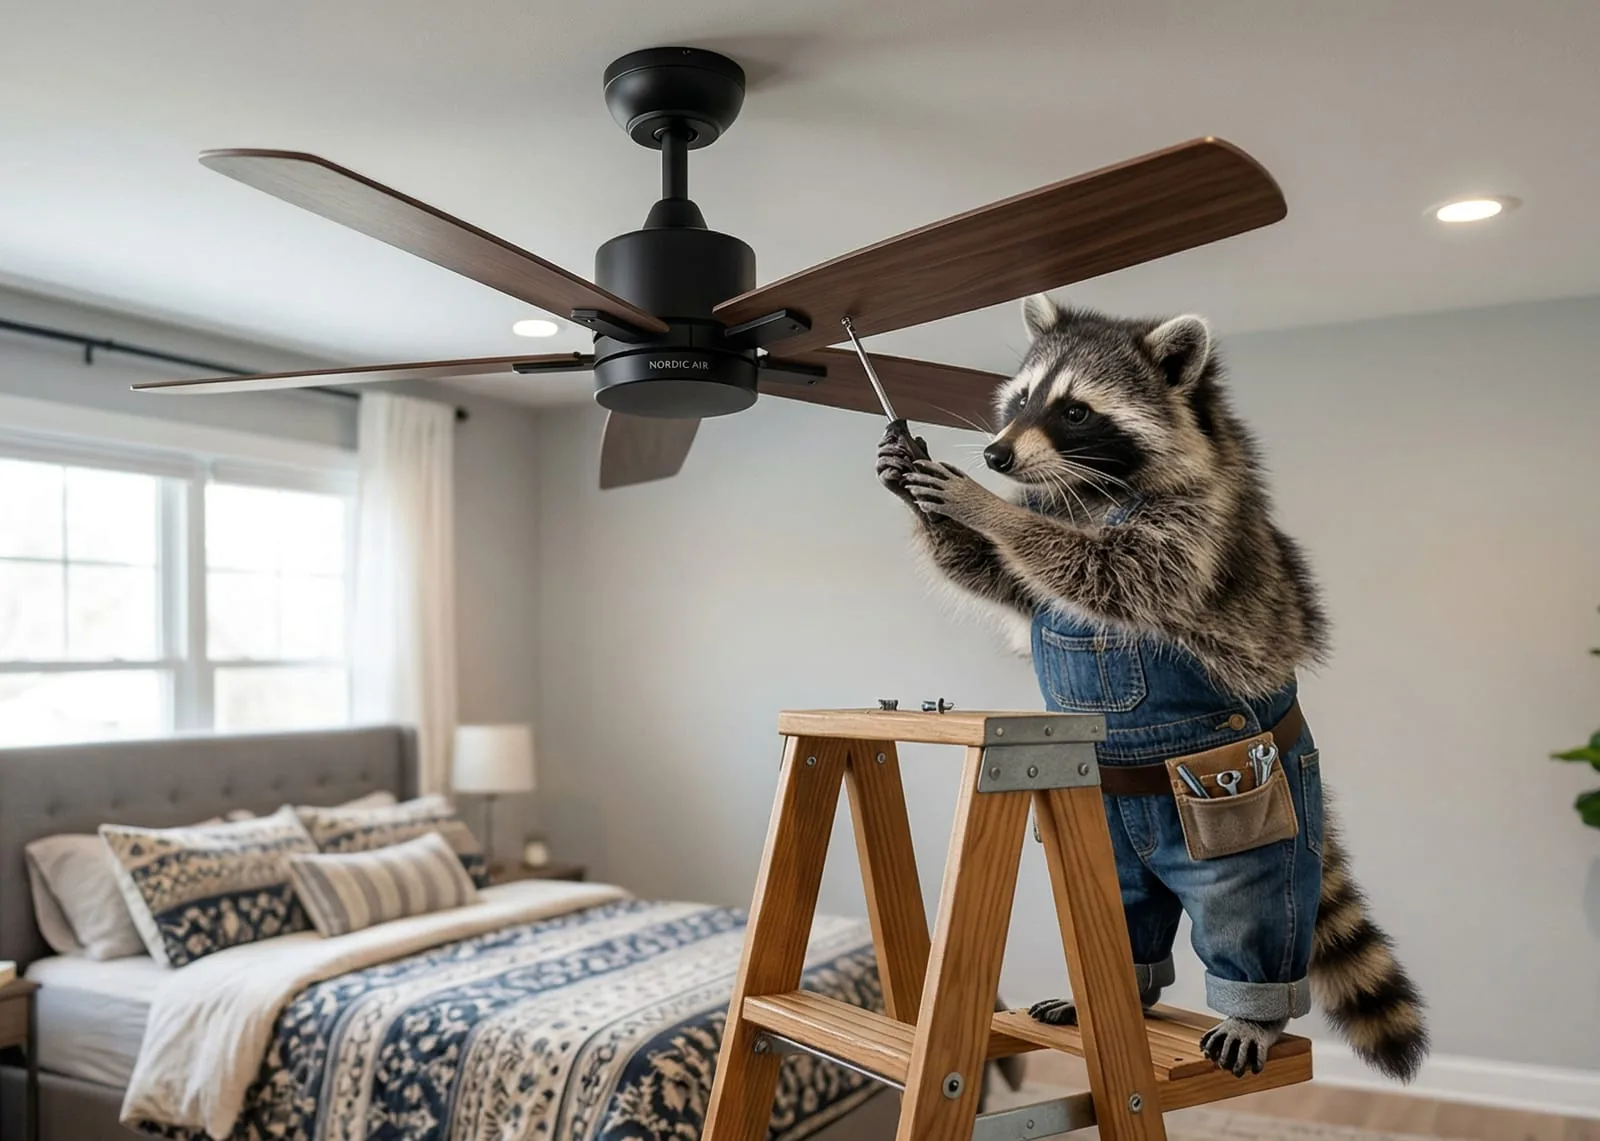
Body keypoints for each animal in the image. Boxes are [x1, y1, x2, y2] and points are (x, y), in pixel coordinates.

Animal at [877, 295, 1428, 1082]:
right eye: (1022, 399)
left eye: (1075, 411)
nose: (995, 456)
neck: (1093, 488)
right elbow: (1002, 579)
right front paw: (913, 480)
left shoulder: (1196, 530)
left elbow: (1104, 570)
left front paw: (987, 507)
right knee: (1125, 909)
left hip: (1255, 801)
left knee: (1250, 909)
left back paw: (1254, 1010)